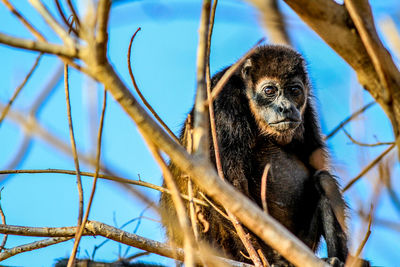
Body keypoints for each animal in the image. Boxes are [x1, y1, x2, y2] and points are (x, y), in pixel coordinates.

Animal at [159, 45, 368, 266]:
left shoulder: (308, 110)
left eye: (294, 91)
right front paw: (267, 259)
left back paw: (335, 259)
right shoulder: (222, 104)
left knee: (324, 179)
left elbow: (317, 169)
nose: (286, 107)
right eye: (269, 91)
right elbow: (227, 187)